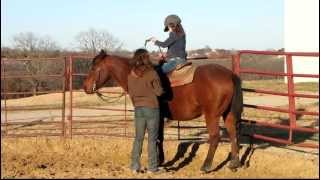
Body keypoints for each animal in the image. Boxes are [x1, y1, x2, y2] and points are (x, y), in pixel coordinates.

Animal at [82, 48, 242, 172]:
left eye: (93, 68)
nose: (85, 87)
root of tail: (229, 75)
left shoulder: (156, 115)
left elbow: (157, 137)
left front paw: (159, 161)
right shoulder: (160, 116)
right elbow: (160, 137)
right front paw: (161, 160)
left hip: (211, 115)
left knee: (215, 137)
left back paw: (206, 166)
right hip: (228, 114)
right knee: (233, 133)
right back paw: (234, 164)